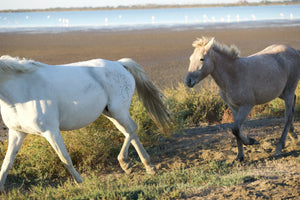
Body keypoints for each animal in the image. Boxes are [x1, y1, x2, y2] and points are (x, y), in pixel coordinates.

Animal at [0, 55, 170, 190]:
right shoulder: (17, 132)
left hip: (118, 111)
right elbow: (7, 163)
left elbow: (64, 158)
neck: (22, 90)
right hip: (111, 113)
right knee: (129, 131)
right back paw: (147, 166)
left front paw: (79, 182)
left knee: (131, 129)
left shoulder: (51, 131)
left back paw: (126, 163)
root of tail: (119, 64)